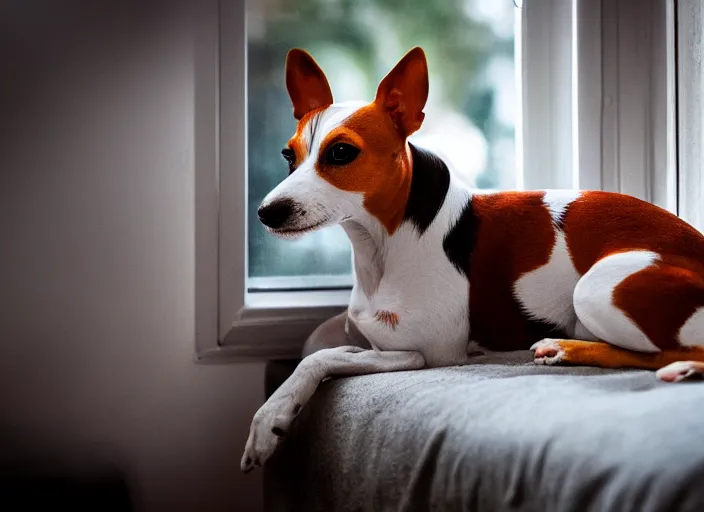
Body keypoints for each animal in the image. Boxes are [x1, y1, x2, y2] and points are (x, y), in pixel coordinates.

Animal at [242, 48, 704, 472]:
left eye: (341, 152)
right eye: (288, 155)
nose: (267, 212)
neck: (383, 244)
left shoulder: (427, 353)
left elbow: (322, 357)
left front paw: (268, 422)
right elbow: (320, 353)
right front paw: (273, 416)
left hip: (596, 289)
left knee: (675, 351)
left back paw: (675, 368)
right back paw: (566, 349)